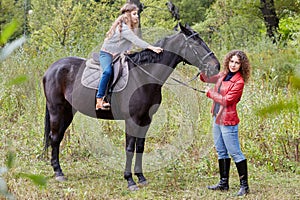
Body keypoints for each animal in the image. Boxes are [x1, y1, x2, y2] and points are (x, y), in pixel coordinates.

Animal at [42, 23, 220, 191]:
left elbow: (140, 147)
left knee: (57, 138)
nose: (216, 67)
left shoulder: (146, 119)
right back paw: (58, 172)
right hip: (57, 111)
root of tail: (51, 69)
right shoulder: (132, 120)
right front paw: (129, 180)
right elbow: (129, 148)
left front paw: (140, 177)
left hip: (67, 112)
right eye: (195, 43)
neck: (143, 77)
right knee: (55, 137)